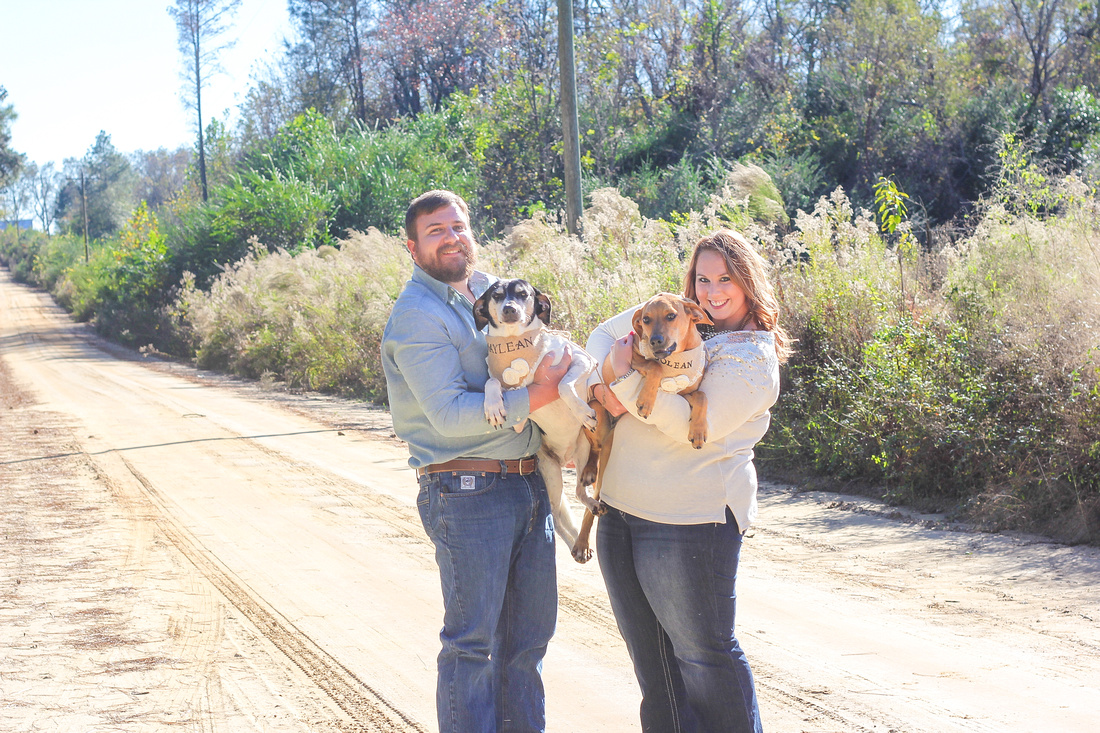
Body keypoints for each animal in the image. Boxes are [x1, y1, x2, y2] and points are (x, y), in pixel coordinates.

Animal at [473, 278, 611, 559]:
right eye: (497, 295)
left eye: (523, 294)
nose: (510, 309)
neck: (517, 344)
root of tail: (565, 456)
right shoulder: (505, 387)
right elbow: (493, 381)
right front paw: (493, 405)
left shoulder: (583, 360)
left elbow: (563, 385)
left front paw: (581, 411)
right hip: (551, 472)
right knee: (556, 514)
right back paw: (575, 545)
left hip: (582, 453)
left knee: (580, 492)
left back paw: (592, 508)